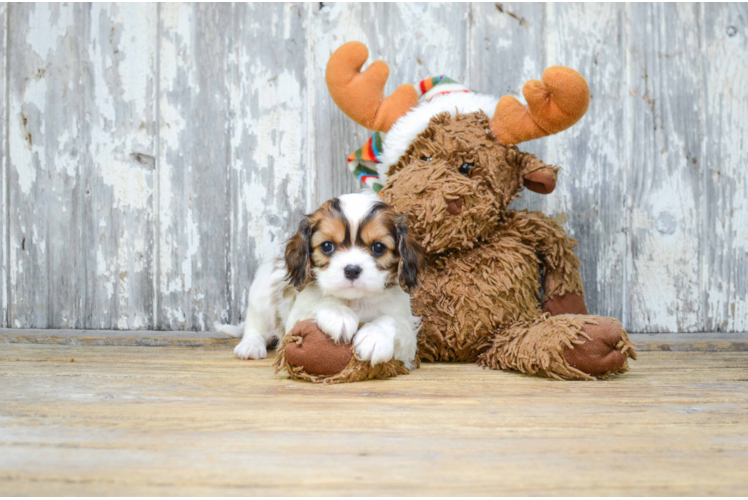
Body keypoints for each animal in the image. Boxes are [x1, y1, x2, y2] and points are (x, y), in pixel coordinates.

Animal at [215, 193, 426, 370]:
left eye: (378, 247)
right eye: (327, 246)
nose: (352, 270)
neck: (354, 300)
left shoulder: (408, 336)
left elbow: (393, 321)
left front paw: (375, 337)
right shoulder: (297, 315)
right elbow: (320, 301)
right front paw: (339, 314)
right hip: (262, 293)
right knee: (255, 327)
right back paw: (250, 345)